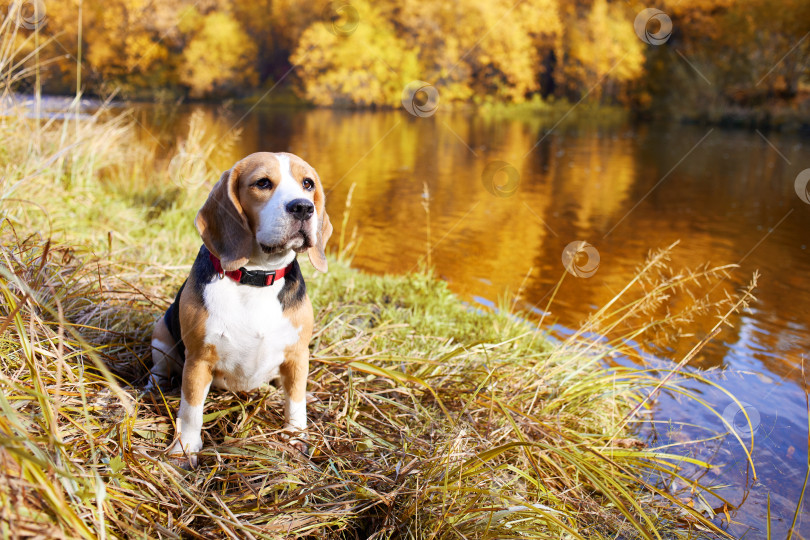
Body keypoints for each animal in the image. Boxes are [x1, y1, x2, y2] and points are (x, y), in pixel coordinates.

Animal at [147, 151, 330, 464]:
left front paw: (295, 437)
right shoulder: (198, 360)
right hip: (161, 334)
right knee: (160, 367)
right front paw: (184, 449)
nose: (303, 208)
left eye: (308, 183)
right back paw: (155, 386)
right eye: (263, 182)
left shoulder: (297, 354)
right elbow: (191, 410)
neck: (256, 277)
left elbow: (295, 402)